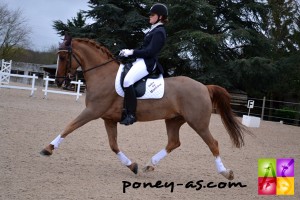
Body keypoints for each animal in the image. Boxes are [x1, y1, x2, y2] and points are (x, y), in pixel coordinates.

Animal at [40, 37, 248, 180]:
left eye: (63, 56)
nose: (58, 81)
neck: (102, 75)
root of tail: (204, 87)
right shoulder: (108, 119)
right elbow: (113, 145)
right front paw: (132, 166)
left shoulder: (92, 112)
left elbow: (69, 127)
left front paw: (48, 148)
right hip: (174, 120)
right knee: (174, 142)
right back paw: (150, 165)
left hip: (198, 123)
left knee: (213, 143)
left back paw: (226, 172)